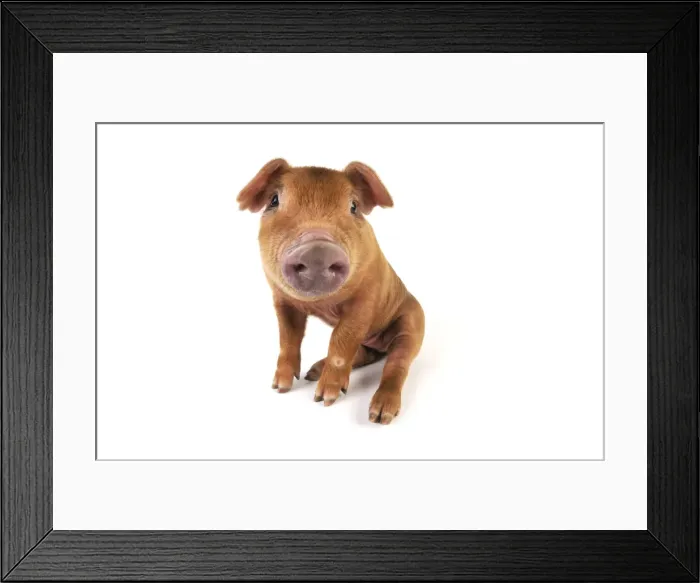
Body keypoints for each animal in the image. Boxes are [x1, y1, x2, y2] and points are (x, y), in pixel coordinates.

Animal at [237, 159, 424, 425]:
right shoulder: (281, 299)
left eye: (353, 206)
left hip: (413, 322)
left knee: (397, 363)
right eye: (274, 200)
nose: (317, 249)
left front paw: (323, 399)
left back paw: (379, 415)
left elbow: (340, 342)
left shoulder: (366, 298)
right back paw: (312, 372)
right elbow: (288, 339)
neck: (321, 303)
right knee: (365, 354)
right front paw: (280, 388)